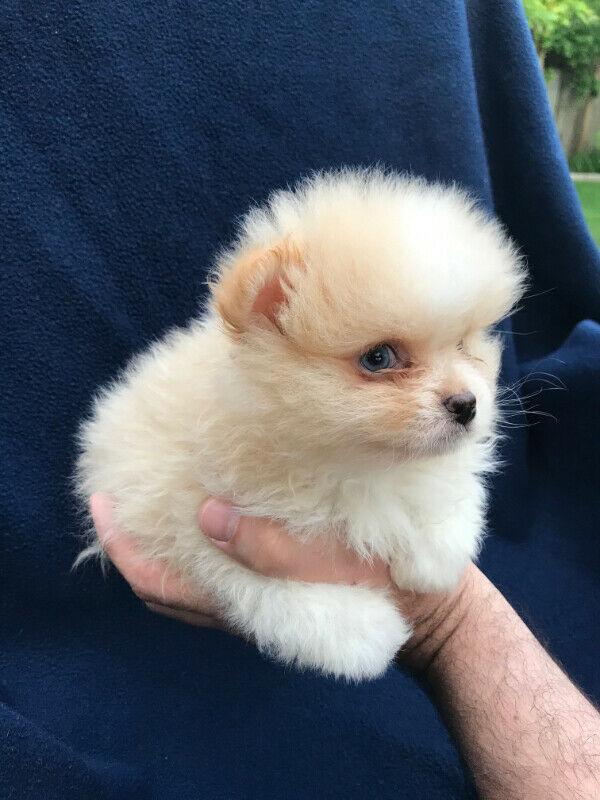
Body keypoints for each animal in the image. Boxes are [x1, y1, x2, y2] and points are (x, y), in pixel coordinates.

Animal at [76, 167, 524, 676]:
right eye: (379, 357)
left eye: (465, 343)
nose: (467, 404)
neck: (356, 463)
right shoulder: (194, 517)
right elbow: (264, 587)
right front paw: (360, 631)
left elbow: (450, 492)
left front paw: (434, 552)